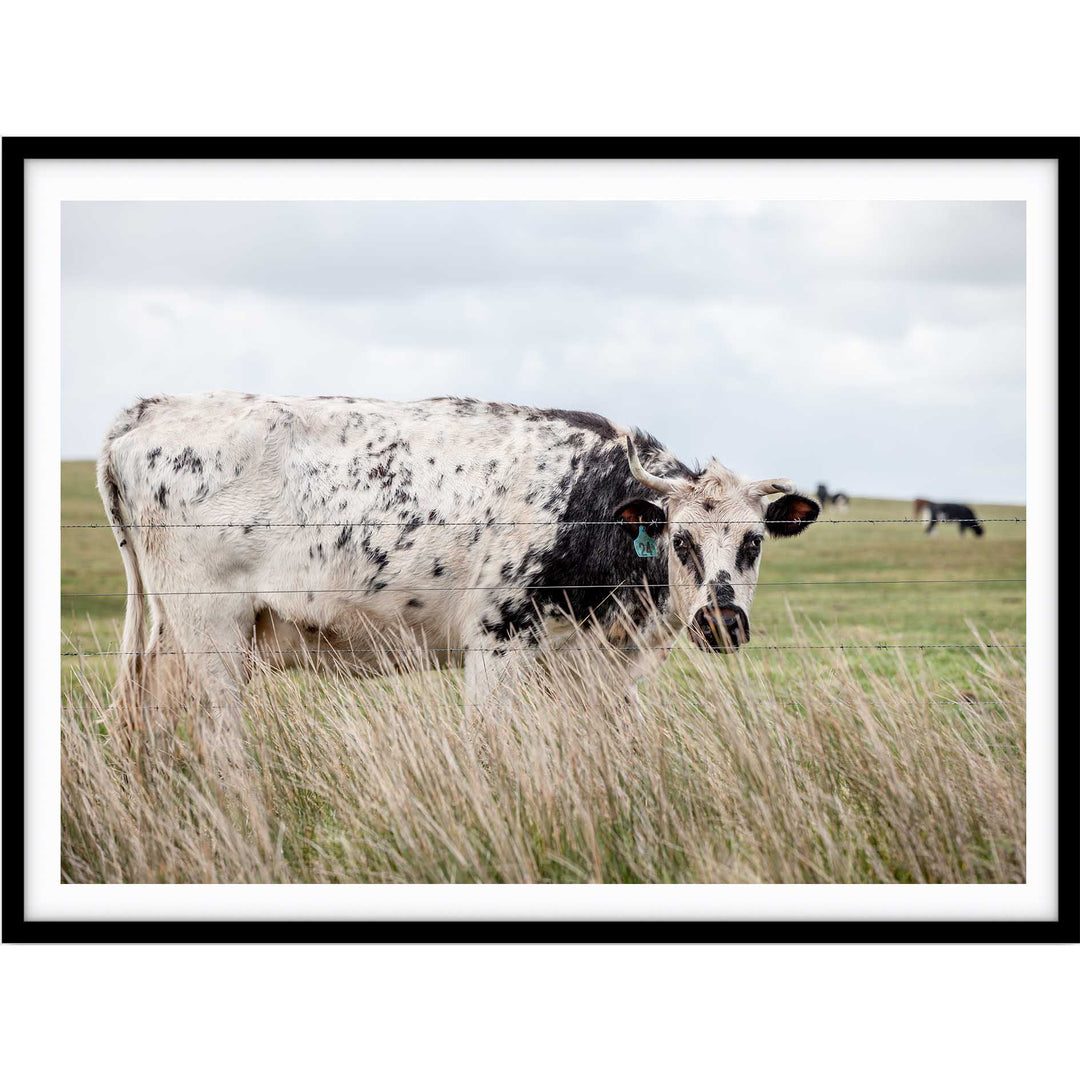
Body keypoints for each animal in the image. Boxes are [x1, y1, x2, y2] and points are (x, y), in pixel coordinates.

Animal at [98, 392, 819, 732]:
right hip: (212, 633)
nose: (720, 622)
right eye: (680, 540)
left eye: (754, 541)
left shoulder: (597, 671)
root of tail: (155, 408)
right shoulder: (497, 640)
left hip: (167, 637)